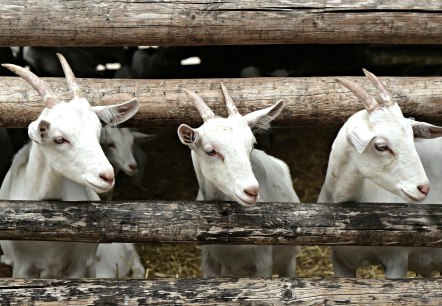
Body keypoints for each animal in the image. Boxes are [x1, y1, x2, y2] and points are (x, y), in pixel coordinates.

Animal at [177, 83, 300, 278]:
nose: (252, 191)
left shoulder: (263, 262)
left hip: (289, 259)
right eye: (210, 151)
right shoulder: (208, 260)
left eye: (252, 145)